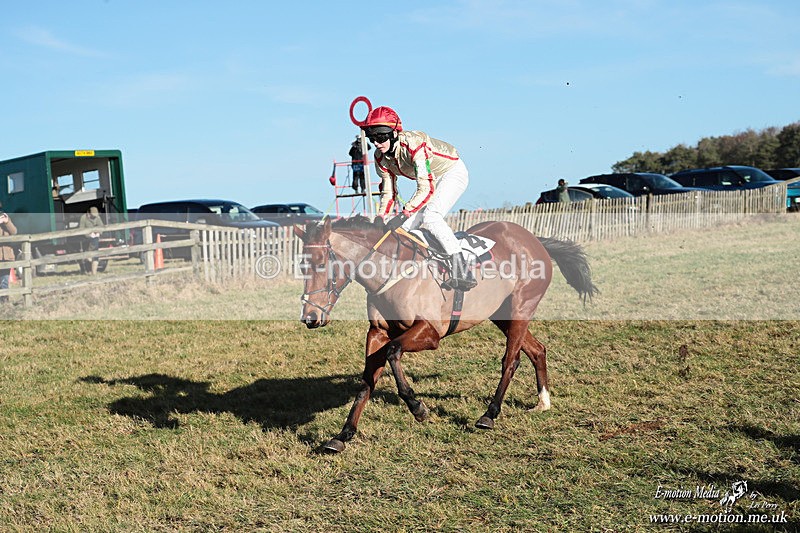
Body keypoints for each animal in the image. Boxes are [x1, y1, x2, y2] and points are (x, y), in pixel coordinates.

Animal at [294, 216, 597, 453]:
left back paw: (489, 414)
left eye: (320, 263)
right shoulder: (377, 332)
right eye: (302, 266)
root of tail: (534, 239)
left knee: (511, 360)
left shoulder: (429, 333)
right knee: (537, 349)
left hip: (522, 306)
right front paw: (343, 435)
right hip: (501, 314)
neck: (393, 270)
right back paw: (543, 402)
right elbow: (367, 380)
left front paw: (417, 407)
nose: (310, 318)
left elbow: (393, 352)